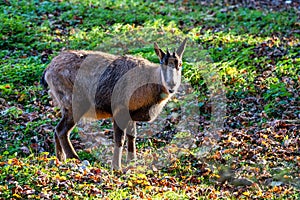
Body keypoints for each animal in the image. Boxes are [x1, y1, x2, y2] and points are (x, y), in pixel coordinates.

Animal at [41, 38, 188, 170]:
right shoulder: (119, 109)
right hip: (74, 103)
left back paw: (60, 158)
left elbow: (132, 135)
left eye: (180, 64)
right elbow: (119, 139)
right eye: (163, 63)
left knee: (57, 130)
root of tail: (47, 71)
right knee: (61, 130)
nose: (171, 86)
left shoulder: (131, 113)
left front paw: (132, 161)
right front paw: (116, 167)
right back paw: (74, 158)